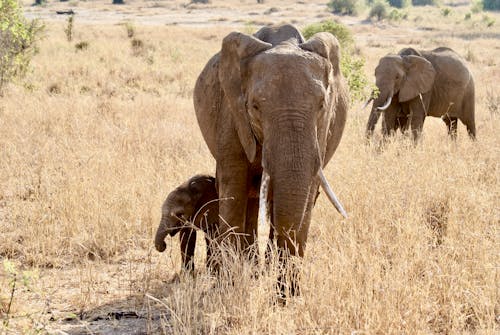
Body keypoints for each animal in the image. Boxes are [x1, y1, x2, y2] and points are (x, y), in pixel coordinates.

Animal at [191, 25, 348, 300]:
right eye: (255, 106)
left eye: (322, 105)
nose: (282, 296)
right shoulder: (232, 115)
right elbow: (234, 189)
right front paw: (228, 289)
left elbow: (306, 194)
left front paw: (288, 299)